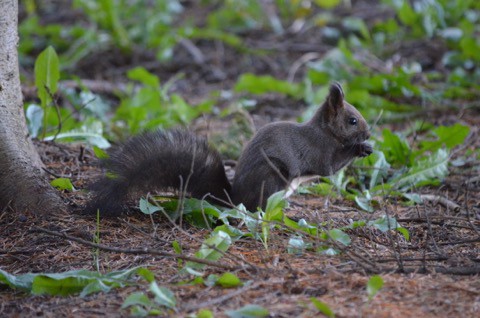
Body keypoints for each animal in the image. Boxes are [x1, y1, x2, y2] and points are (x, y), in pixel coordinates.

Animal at [87, 82, 372, 216]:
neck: (325, 131)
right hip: (272, 177)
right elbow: (330, 167)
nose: (369, 133)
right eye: (352, 120)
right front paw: (360, 149)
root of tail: (235, 199)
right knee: (258, 207)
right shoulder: (319, 150)